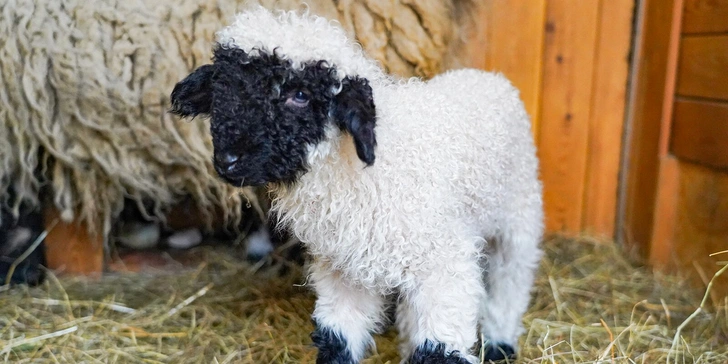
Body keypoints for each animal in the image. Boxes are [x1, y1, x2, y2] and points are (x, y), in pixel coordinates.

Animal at [171, 6, 544, 364]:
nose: (228, 160)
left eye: (301, 95)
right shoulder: (344, 270)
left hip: (518, 213)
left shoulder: (446, 263)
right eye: (224, 87)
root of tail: (486, 76)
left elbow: (439, 350)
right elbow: (338, 338)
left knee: (512, 277)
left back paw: (500, 342)